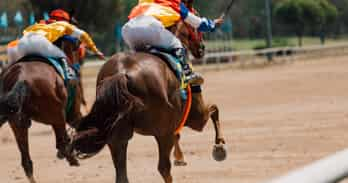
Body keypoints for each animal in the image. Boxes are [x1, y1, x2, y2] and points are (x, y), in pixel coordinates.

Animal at [0, 38, 83, 182]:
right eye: (77, 50)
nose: (78, 67)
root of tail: (21, 77)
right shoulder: (72, 114)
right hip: (56, 114)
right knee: (61, 143)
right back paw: (71, 158)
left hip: (18, 124)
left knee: (27, 162)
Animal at [69, 20, 227, 183]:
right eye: (195, 29)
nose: (202, 48)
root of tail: (122, 72)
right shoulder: (196, 118)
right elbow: (214, 109)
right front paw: (219, 146)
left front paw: (180, 157)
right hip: (163, 132)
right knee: (163, 168)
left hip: (117, 135)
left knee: (122, 174)